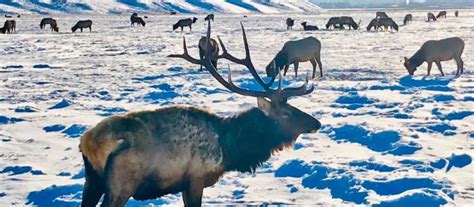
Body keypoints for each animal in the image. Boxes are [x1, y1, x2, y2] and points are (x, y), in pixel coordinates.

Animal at [80, 21, 322, 207]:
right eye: (287, 112)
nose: (317, 123)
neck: (230, 149)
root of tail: (89, 142)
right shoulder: (195, 179)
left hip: (92, 182)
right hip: (121, 185)